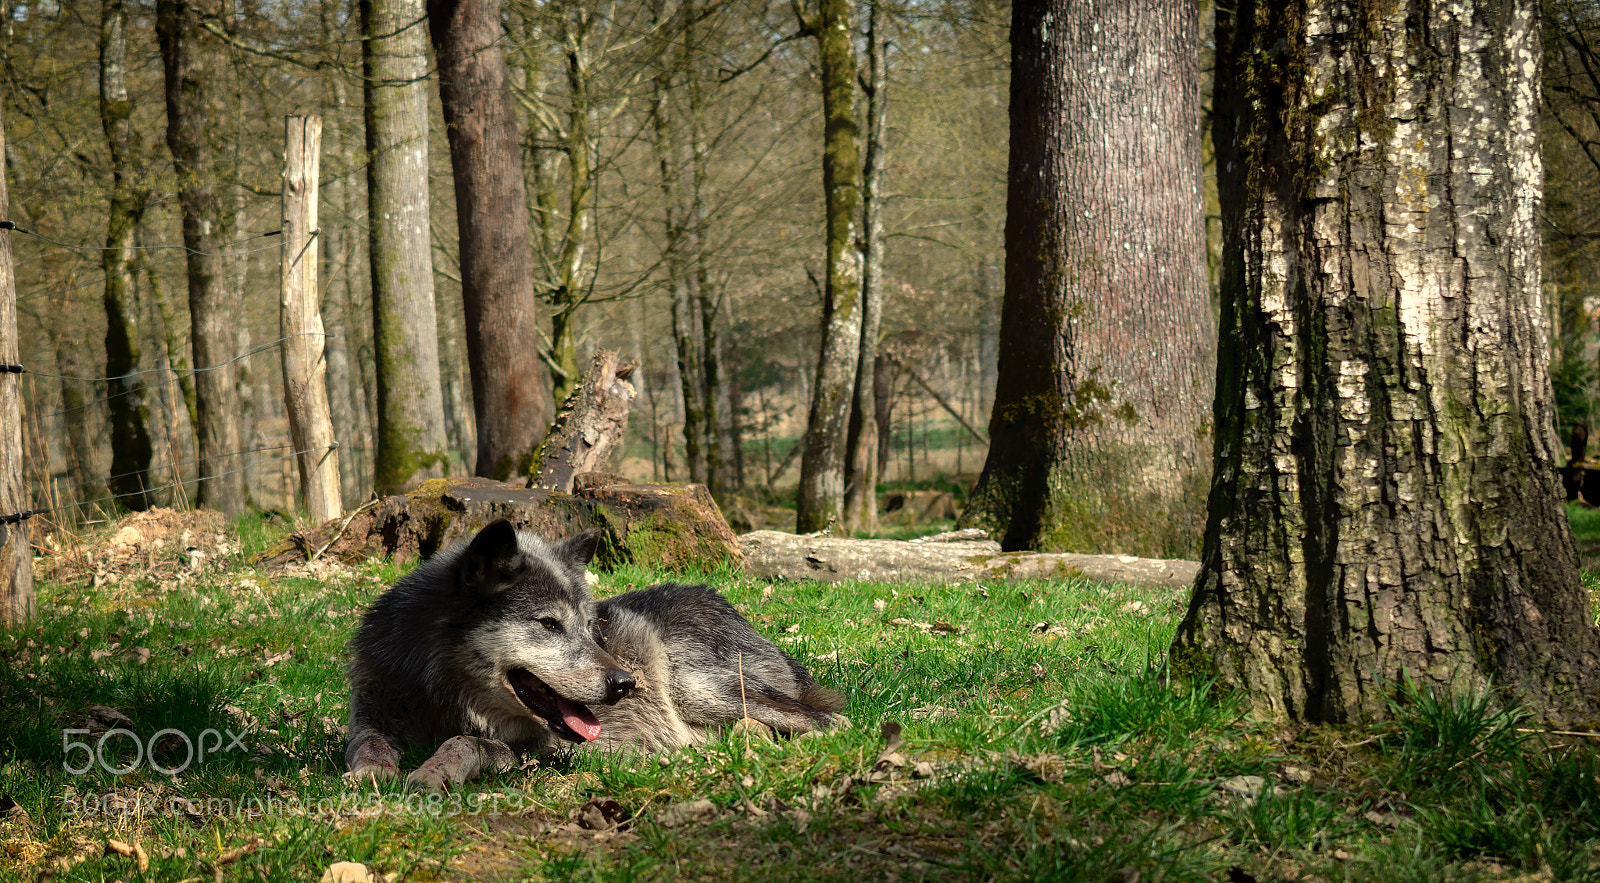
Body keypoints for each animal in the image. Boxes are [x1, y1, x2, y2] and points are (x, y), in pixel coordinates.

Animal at [344, 519, 843, 789]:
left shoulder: (530, 752)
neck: (441, 692)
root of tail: (724, 603)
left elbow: (465, 742)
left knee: (832, 720)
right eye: (549, 625)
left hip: (700, 689)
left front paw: (434, 771)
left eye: (590, 628)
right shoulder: (370, 712)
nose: (626, 683)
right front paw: (370, 771)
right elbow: (364, 743)